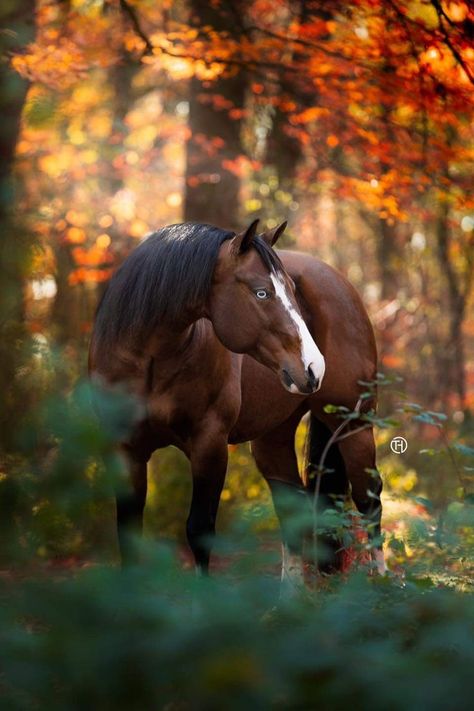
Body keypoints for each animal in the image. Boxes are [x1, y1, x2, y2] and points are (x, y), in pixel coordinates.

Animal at [90, 221, 386, 588]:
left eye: (291, 290)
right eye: (262, 293)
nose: (314, 367)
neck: (152, 358)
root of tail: (340, 283)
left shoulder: (209, 444)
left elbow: (200, 531)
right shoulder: (124, 449)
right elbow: (128, 532)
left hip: (353, 425)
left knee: (369, 500)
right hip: (274, 438)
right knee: (294, 509)